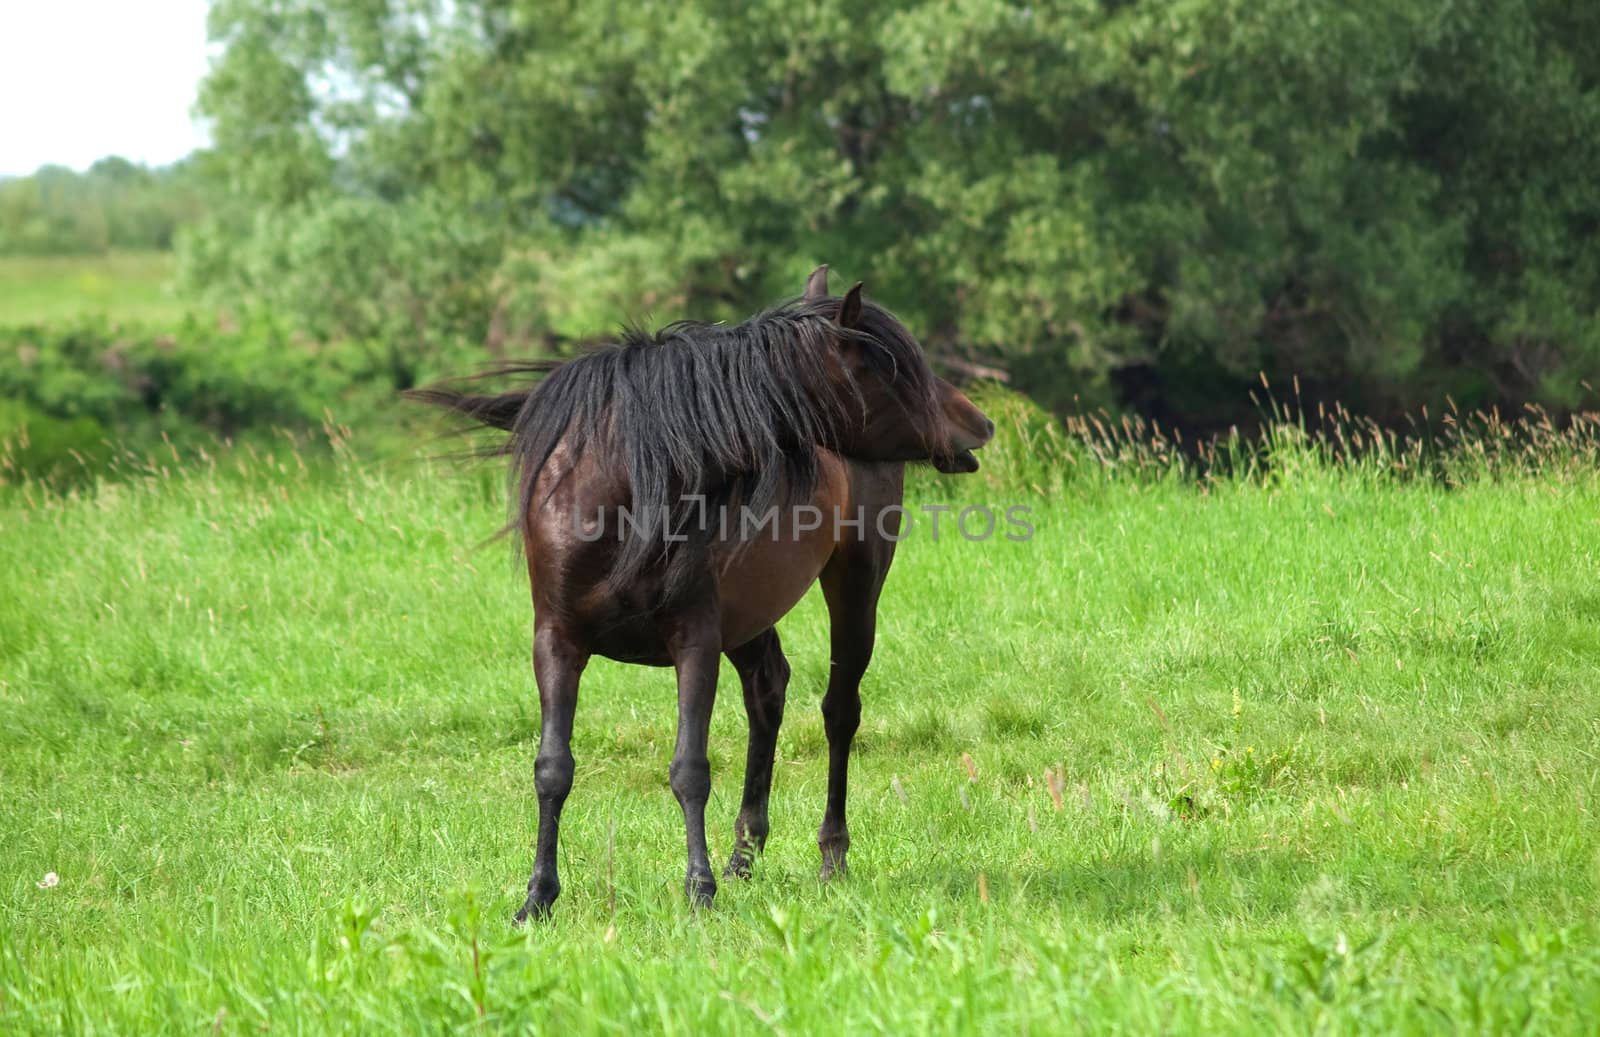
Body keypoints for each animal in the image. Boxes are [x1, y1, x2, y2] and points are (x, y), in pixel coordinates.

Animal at [409, 265, 985, 915]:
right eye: (891, 370)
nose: (977, 423)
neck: (622, 497)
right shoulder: (556, 641)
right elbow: (552, 767)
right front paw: (538, 897)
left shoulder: (695, 641)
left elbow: (689, 768)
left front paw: (698, 889)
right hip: (753, 614)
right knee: (768, 691)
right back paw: (744, 854)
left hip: (857, 582)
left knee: (839, 711)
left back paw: (829, 854)